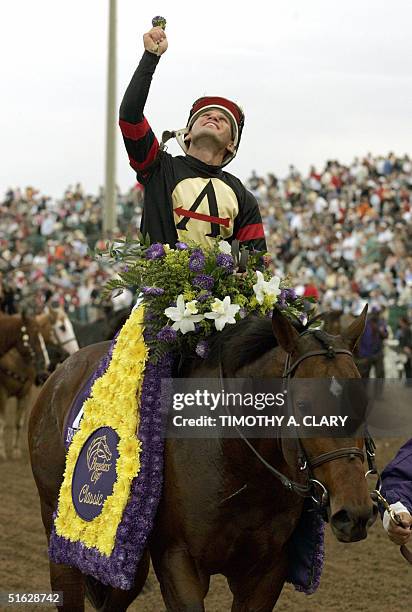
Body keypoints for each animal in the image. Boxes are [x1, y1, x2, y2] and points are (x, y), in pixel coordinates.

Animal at [0, 314, 46, 456]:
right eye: (33, 337)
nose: (43, 363)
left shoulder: (24, 393)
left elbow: (18, 422)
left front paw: (15, 450)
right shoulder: (2, 393)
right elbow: (2, 422)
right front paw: (2, 451)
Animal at [29, 308, 376, 608]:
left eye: (362, 402)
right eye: (303, 405)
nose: (354, 513)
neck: (240, 468)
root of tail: (59, 373)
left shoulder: (267, 569)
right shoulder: (177, 560)